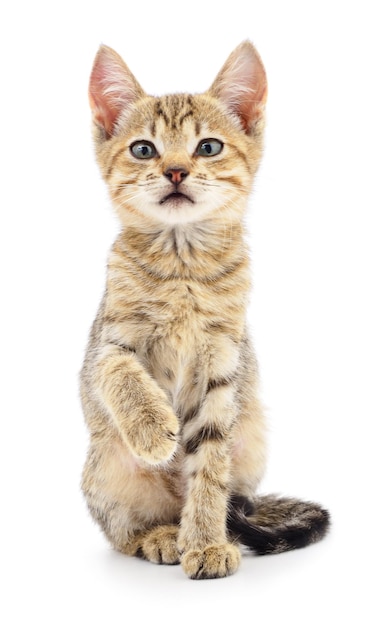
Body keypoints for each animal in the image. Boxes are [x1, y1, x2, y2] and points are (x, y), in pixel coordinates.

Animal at [80, 37, 328, 576]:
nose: (175, 170)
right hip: (104, 471)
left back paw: (200, 532)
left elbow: (210, 469)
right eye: (143, 149)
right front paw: (153, 430)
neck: (183, 268)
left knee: (233, 499)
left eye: (208, 147)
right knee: (123, 534)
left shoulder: (221, 365)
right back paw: (160, 535)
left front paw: (207, 542)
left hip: (251, 442)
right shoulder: (106, 346)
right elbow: (121, 375)